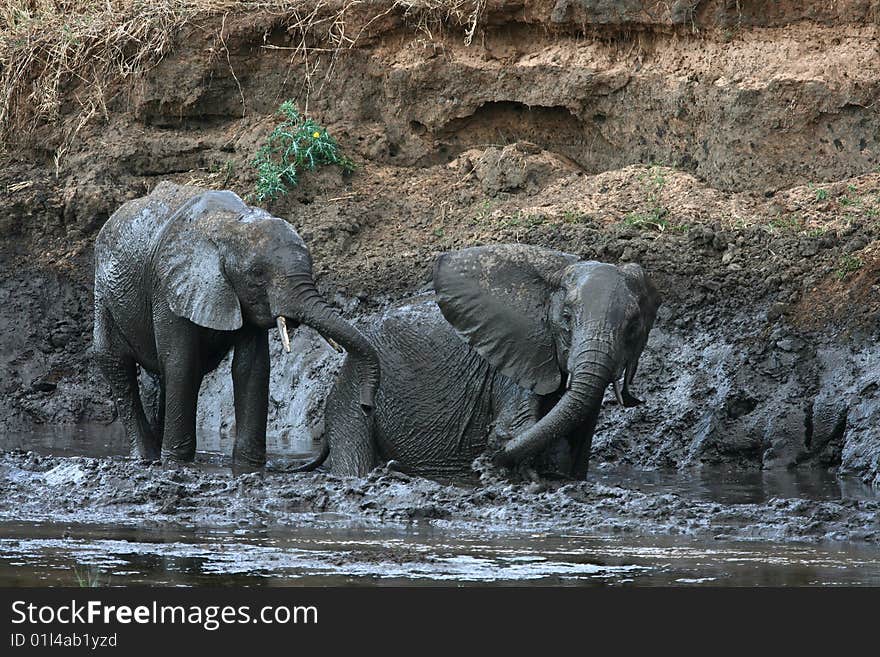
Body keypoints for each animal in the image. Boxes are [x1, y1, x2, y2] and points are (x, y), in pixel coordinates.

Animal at [94, 181, 380, 466]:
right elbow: (181, 363)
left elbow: (252, 367)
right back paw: (146, 456)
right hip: (103, 292)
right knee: (115, 361)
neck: (230, 225)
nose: (366, 405)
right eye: (257, 274)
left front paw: (248, 464)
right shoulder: (168, 287)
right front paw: (176, 462)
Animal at [310, 243, 660, 480]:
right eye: (567, 318)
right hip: (352, 393)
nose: (482, 460)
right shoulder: (516, 359)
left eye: (632, 327)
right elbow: (517, 427)